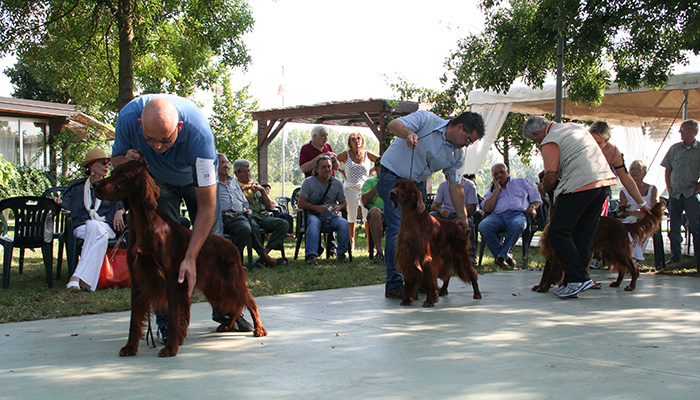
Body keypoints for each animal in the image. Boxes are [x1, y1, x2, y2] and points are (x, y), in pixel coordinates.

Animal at [94, 161, 266, 358]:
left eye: (122, 175)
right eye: (113, 171)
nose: (94, 184)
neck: (144, 226)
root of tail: (231, 245)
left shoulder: (172, 280)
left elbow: (174, 316)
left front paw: (170, 347)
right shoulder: (138, 280)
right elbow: (134, 320)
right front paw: (130, 347)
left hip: (230, 281)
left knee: (249, 302)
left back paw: (259, 329)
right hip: (213, 287)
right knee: (236, 305)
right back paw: (228, 325)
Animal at [388, 180, 482, 308]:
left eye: (405, 187)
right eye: (396, 185)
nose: (391, 193)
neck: (411, 223)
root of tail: (460, 228)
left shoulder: (425, 258)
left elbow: (429, 281)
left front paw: (430, 300)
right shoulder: (407, 256)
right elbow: (408, 281)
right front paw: (407, 299)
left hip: (460, 255)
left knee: (472, 274)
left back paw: (477, 293)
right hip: (446, 258)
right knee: (447, 275)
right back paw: (442, 290)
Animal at [532, 202, 664, 292]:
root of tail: (623, 225)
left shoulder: (557, 255)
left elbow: (550, 274)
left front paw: (544, 288)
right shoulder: (550, 254)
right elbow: (545, 273)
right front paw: (539, 286)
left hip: (618, 250)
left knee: (632, 268)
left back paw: (631, 286)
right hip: (610, 252)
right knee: (622, 268)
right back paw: (617, 283)